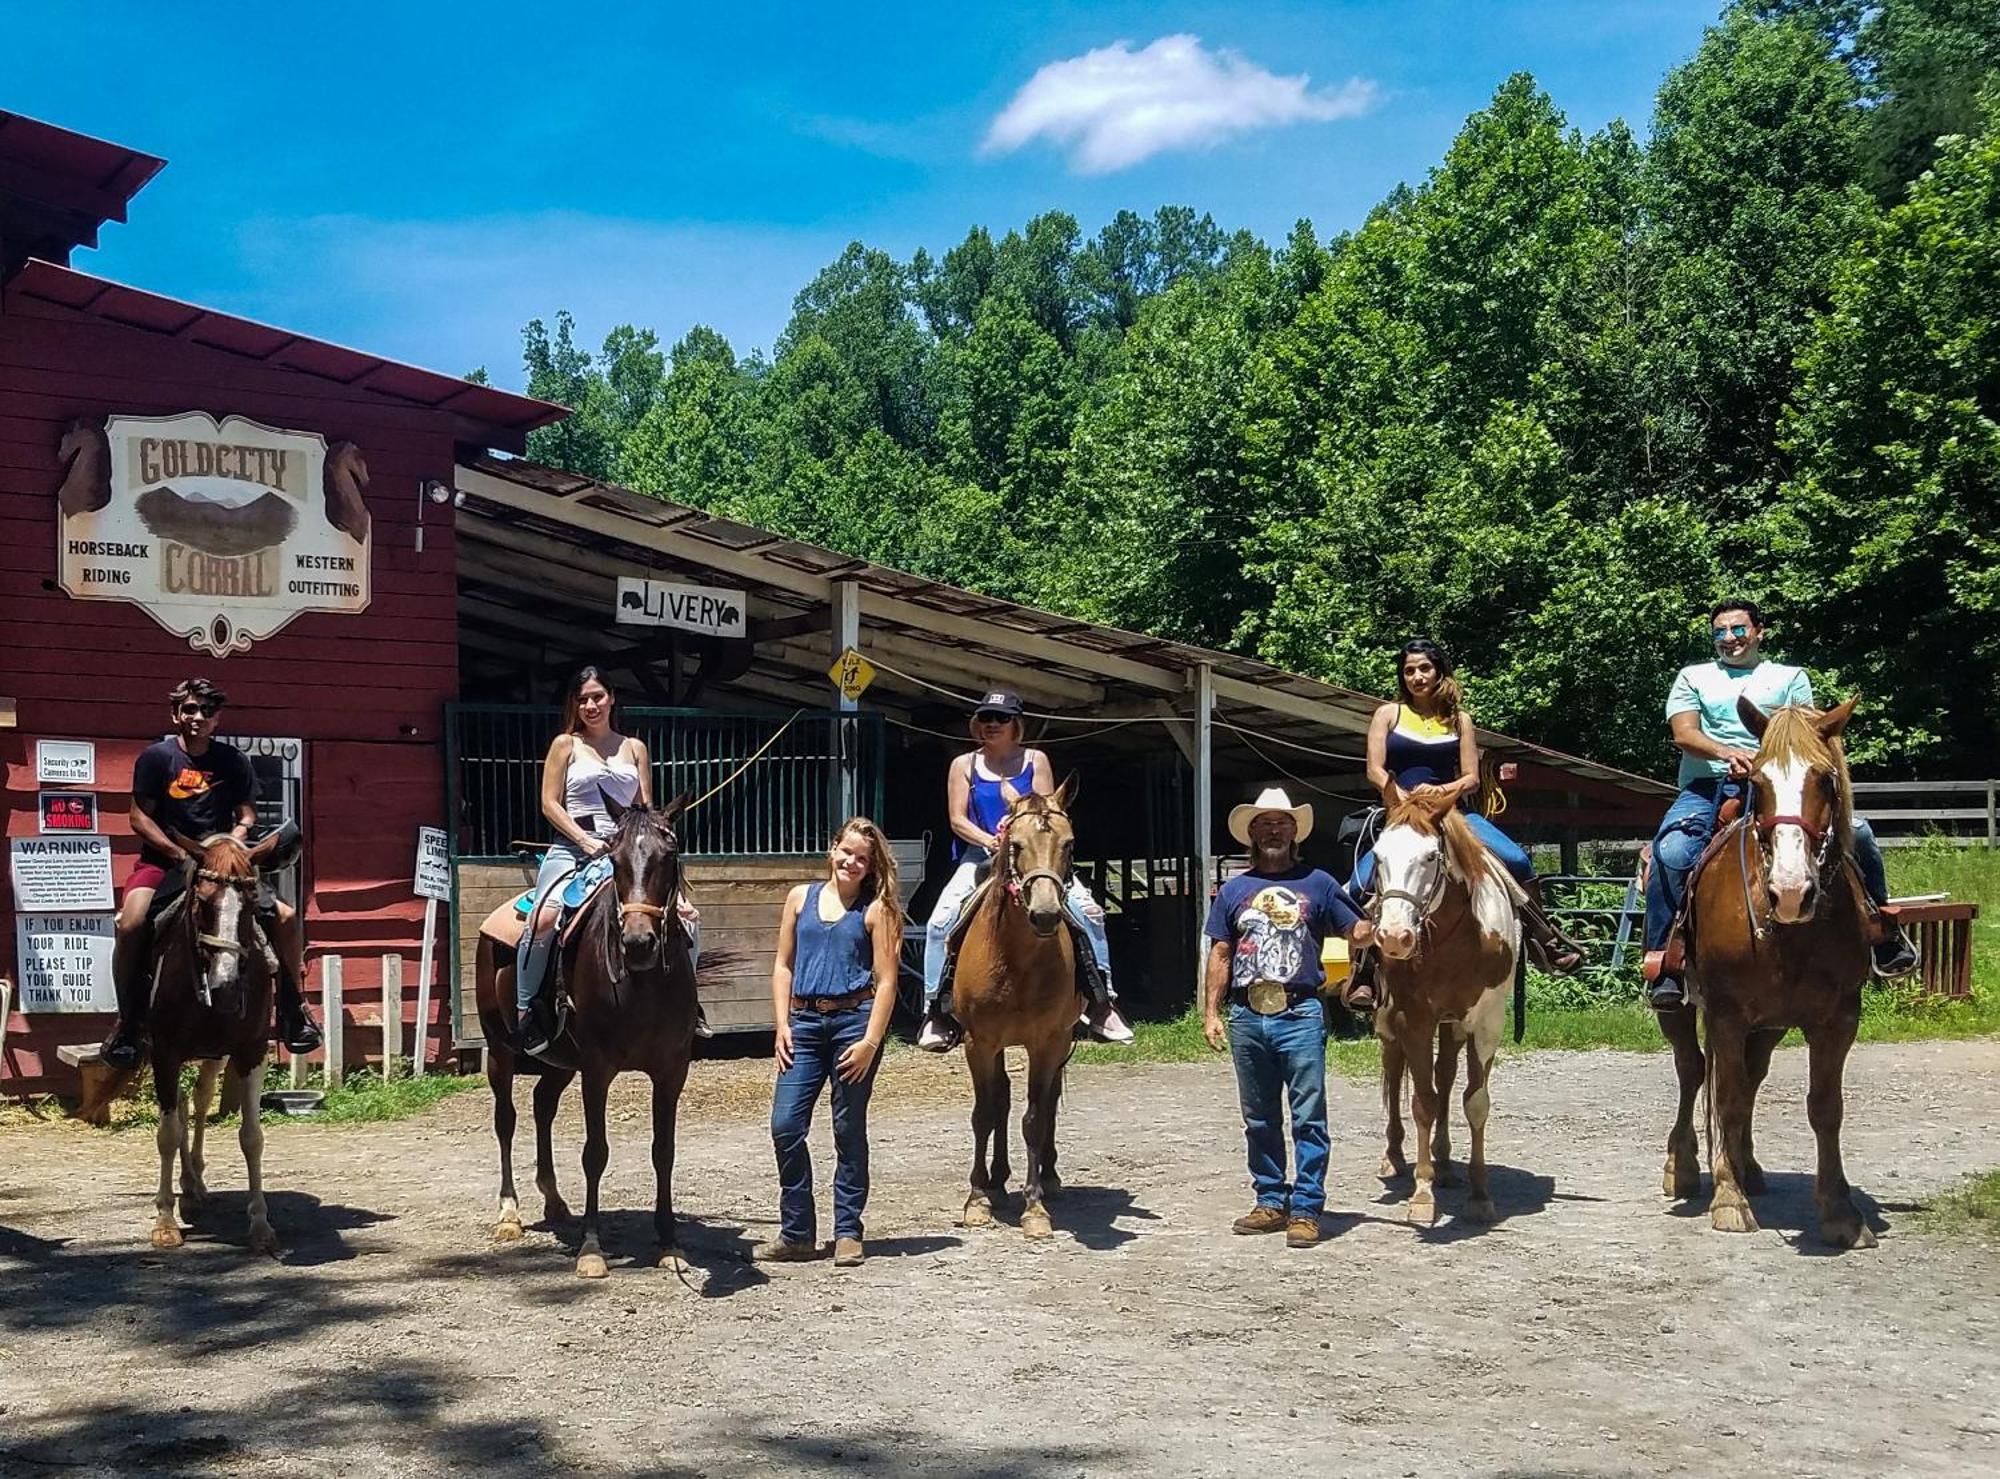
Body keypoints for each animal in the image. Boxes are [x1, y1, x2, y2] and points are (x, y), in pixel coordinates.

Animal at [145, 827, 290, 1255]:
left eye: (251, 905)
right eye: (203, 902)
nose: (225, 985)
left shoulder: (252, 1052)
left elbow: (251, 1137)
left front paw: (260, 1223)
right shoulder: (165, 1053)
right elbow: (167, 1134)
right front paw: (165, 1220)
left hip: (213, 1055)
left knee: (199, 1098)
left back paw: (194, 1184)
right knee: (178, 1109)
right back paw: (187, 1189)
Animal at [476, 795, 704, 1279]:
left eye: (668, 856)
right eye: (614, 861)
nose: (638, 942)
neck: (640, 983)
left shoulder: (671, 1070)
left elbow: (664, 1151)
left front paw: (669, 1242)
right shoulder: (597, 1070)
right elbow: (595, 1153)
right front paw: (592, 1248)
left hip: (560, 1061)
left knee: (542, 1104)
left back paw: (555, 1200)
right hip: (500, 1049)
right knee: (506, 1119)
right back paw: (509, 1213)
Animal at [948, 779, 1080, 1239]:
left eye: (1069, 844)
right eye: (1016, 845)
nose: (1045, 914)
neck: (1016, 959)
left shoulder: (1047, 1042)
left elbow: (1035, 1119)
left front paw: (1035, 1207)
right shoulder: (980, 1042)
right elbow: (984, 1114)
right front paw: (977, 1199)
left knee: (1046, 1099)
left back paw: (1048, 1178)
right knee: (1001, 1099)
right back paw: (997, 1180)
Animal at [1368, 791, 1520, 1231]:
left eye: (1431, 856)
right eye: (1378, 855)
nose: (1394, 937)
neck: (1455, 936)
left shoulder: (1487, 1023)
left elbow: (1475, 1101)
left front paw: (1480, 1195)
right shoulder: (1413, 1019)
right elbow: (1423, 1101)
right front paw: (1423, 1193)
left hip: (1454, 1025)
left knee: (1447, 1074)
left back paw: (1448, 1163)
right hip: (1389, 1021)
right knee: (1394, 1069)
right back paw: (1395, 1157)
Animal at [1648, 695, 1880, 1247]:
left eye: (1825, 779)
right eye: (1758, 779)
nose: (1791, 892)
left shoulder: (1838, 1019)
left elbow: (1825, 1108)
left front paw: (1841, 1211)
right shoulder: (1727, 1015)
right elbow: (1726, 1097)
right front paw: (1729, 1201)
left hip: (1770, 1025)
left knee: (1751, 1076)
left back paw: (1748, 1167)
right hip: (1680, 1009)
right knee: (1693, 1071)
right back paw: (1684, 1167)